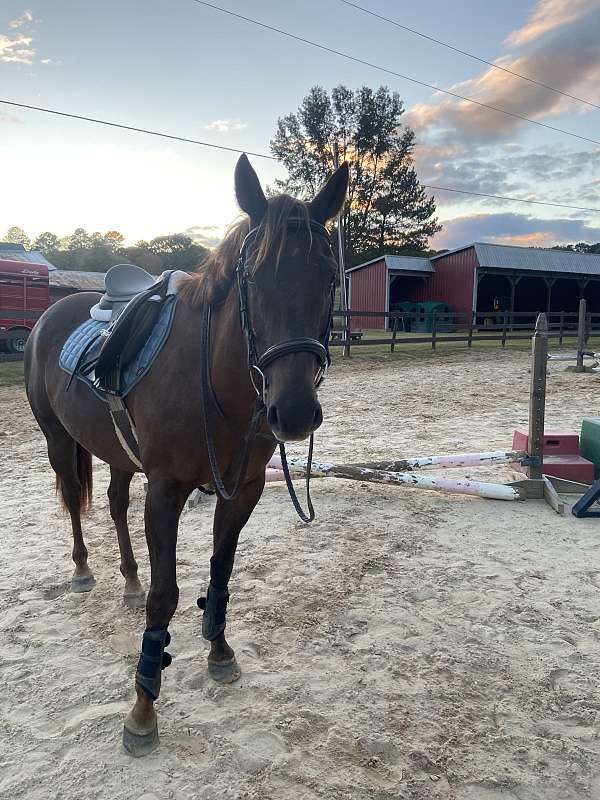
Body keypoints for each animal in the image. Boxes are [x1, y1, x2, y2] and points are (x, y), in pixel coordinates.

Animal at [25, 155, 350, 756]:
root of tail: (53, 313)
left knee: (113, 503)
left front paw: (219, 651)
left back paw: (127, 579)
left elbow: (220, 571)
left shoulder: (242, 489)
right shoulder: (166, 491)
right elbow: (165, 596)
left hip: (118, 453)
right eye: (253, 279)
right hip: (59, 441)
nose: (294, 412)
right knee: (75, 501)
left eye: (328, 278)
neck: (217, 381)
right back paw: (83, 571)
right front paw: (143, 707)